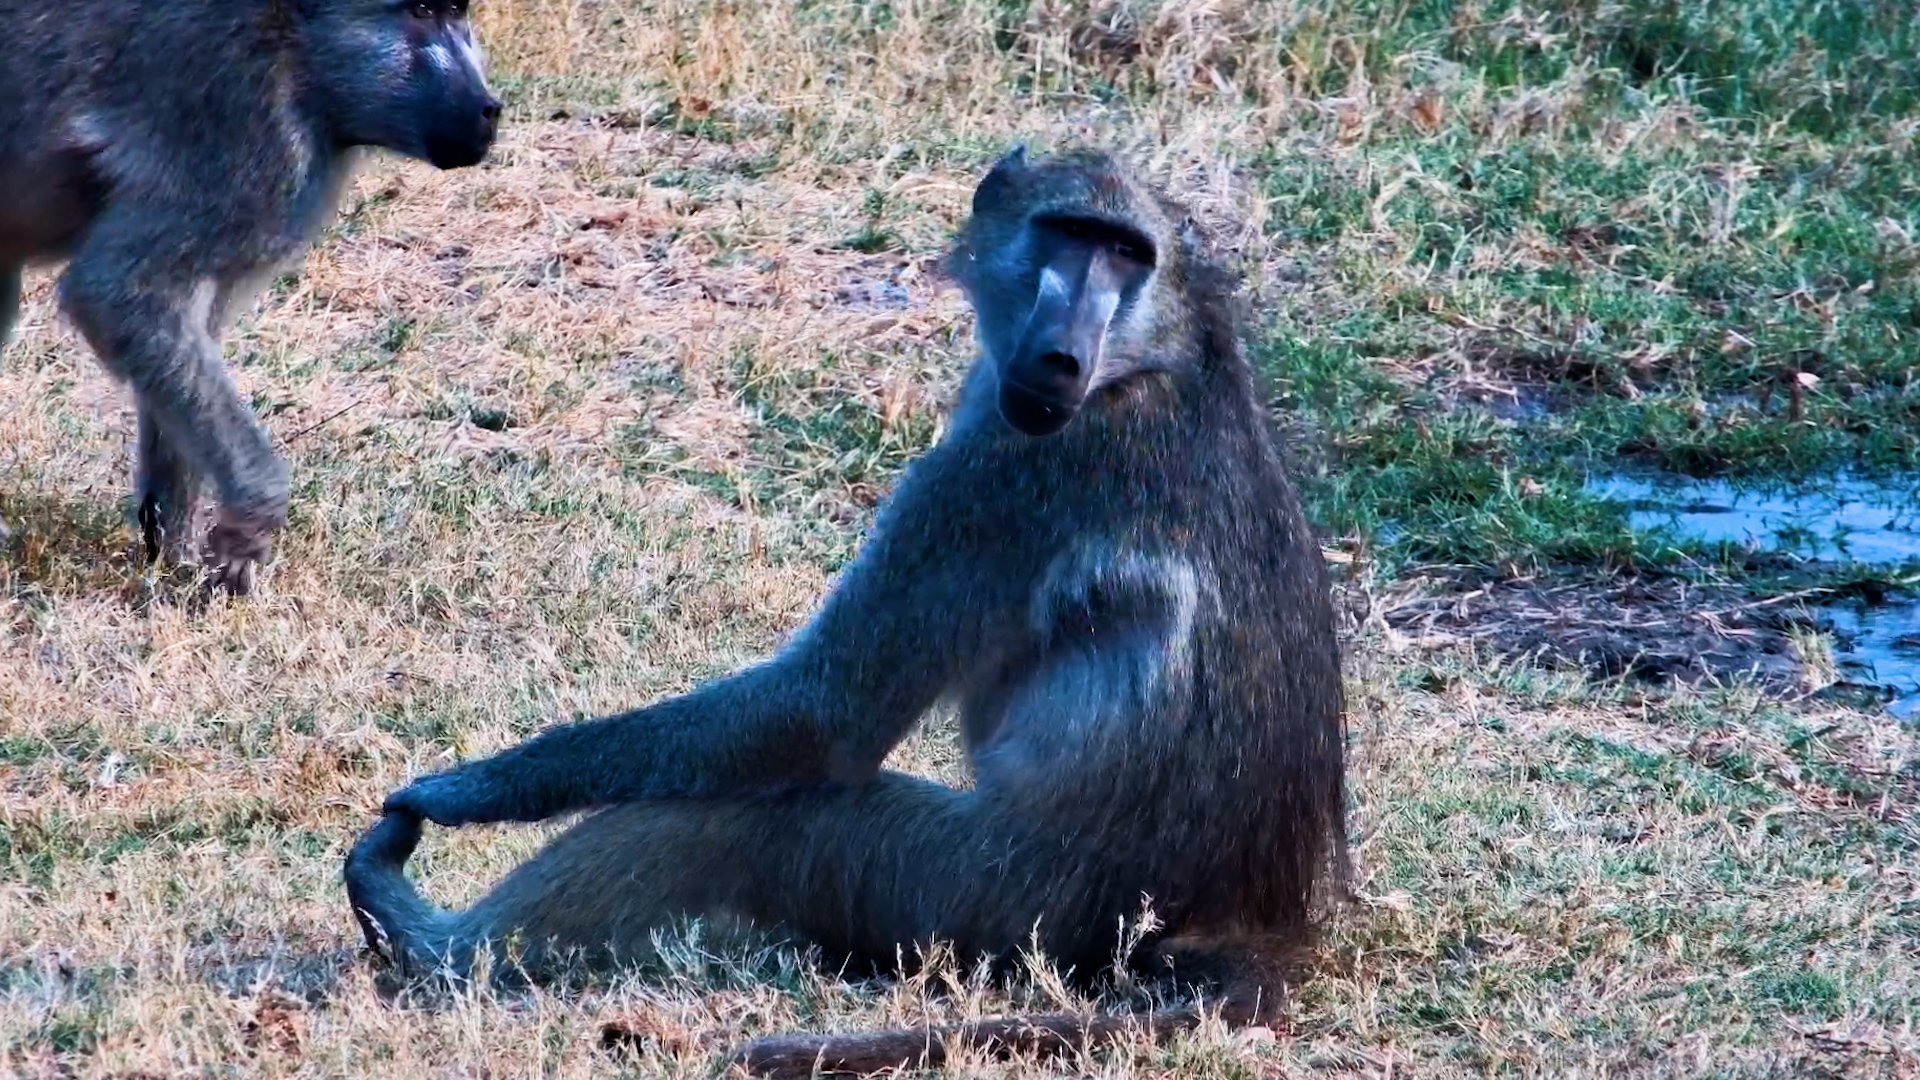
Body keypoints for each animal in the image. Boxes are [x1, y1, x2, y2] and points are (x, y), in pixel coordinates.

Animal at [0, 0, 502, 593]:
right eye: (422, 10)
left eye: (457, 12)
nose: (489, 112)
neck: (297, 47)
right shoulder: (242, 133)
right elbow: (118, 295)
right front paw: (247, 534)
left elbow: (180, 336)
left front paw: (170, 549)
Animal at [344, 145, 1350, 1074]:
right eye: (1069, 234)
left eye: (1127, 255)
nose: (1063, 354)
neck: (1157, 363)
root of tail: (1235, 915)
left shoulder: (1003, 472)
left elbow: (825, 713)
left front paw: (460, 791)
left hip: (1005, 897)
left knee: (758, 823)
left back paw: (428, 942)